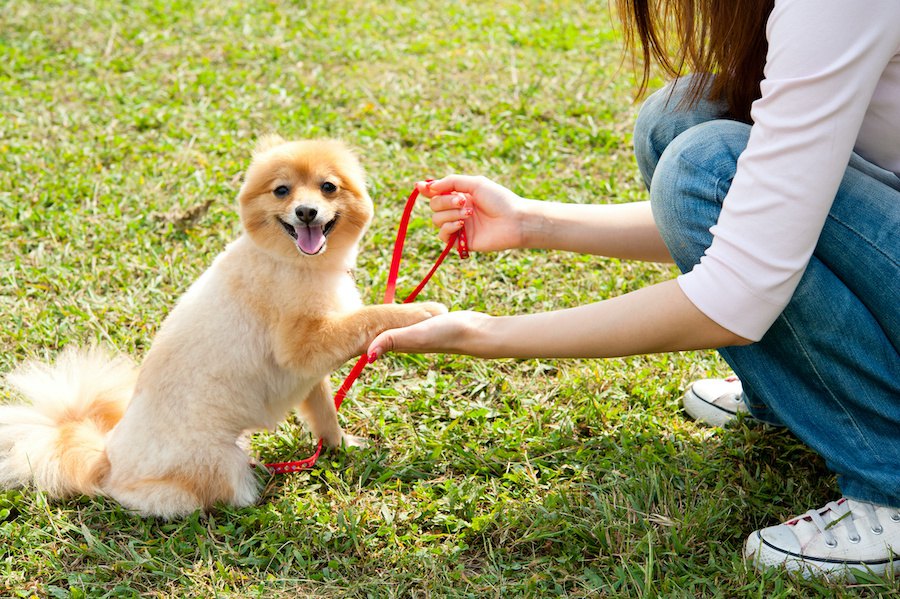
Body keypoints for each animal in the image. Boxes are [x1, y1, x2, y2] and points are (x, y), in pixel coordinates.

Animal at [0, 137, 448, 520]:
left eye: (328, 187)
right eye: (282, 191)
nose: (306, 211)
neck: (293, 262)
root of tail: (106, 458)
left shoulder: (308, 373)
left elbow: (324, 412)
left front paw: (340, 446)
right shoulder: (302, 346)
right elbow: (370, 317)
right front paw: (420, 311)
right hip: (218, 463)